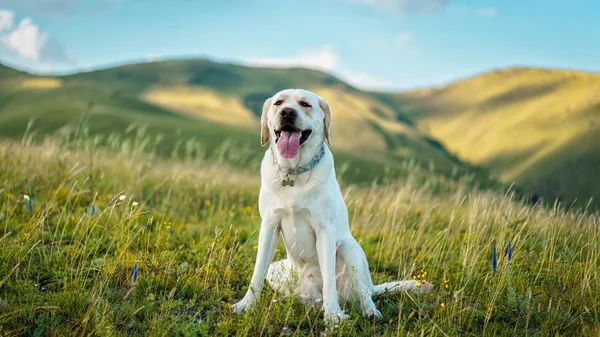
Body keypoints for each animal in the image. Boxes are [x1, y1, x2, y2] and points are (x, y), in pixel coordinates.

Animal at [230, 88, 432, 322]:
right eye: (278, 103)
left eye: (305, 104)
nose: (287, 112)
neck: (294, 173)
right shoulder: (269, 226)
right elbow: (257, 273)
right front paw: (246, 305)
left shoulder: (324, 229)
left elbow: (329, 280)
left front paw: (333, 314)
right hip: (278, 270)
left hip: (348, 247)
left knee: (363, 293)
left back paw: (368, 311)